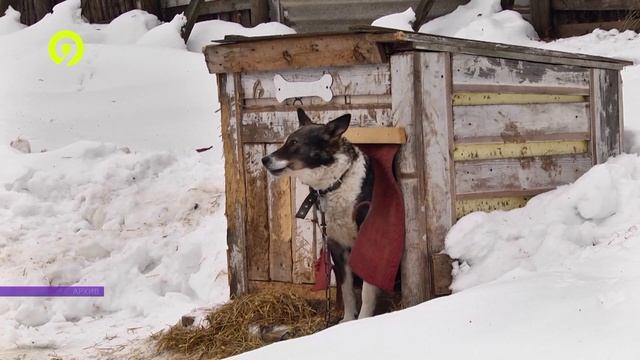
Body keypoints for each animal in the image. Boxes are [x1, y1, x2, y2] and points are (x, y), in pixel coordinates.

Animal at [262, 108, 378, 322]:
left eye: (294, 143)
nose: (264, 160)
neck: (336, 183)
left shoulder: (368, 243)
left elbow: (367, 291)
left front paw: (363, 321)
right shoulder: (337, 246)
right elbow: (346, 290)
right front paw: (347, 321)